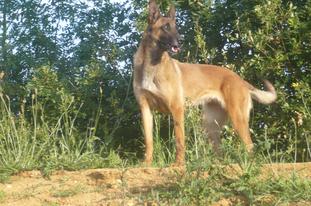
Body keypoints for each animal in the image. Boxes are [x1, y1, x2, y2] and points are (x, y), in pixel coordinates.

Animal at [134, 0, 278, 165]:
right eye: (165, 27)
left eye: (176, 28)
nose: (181, 41)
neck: (151, 65)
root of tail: (241, 80)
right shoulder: (146, 109)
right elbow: (149, 141)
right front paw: (146, 163)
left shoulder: (177, 109)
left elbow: (179, 140)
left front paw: (178, 164)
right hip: (210, 125)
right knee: (220, 151)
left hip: (237, 118)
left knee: (249, 145)